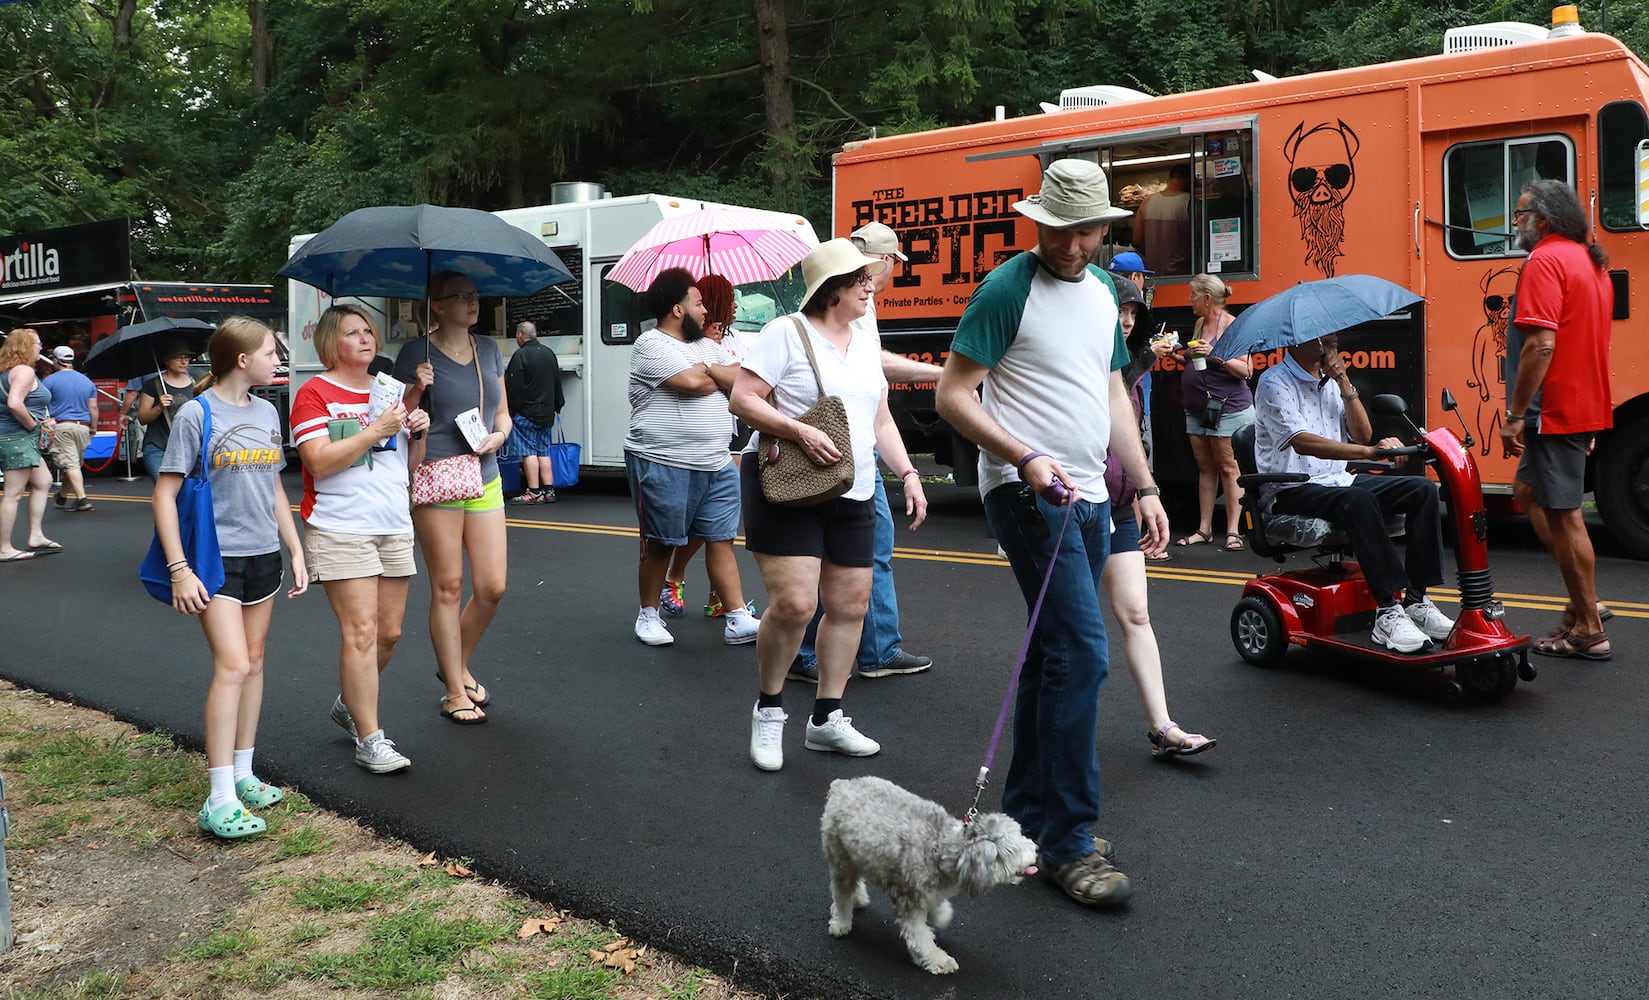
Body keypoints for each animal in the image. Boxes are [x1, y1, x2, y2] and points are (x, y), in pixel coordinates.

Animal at [821, 775, 1035, 976]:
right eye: (1013, 851)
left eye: (1020, 833)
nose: (1035, 851)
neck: (943, 848)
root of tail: (842, 785)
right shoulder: (909, 900)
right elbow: (920, 937)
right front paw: (938, 960)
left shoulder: (930, 891)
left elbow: (936, 911)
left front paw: (940, 917)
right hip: (840, 857)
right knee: (841, 893)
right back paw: (841, 922)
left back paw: (859, 898)